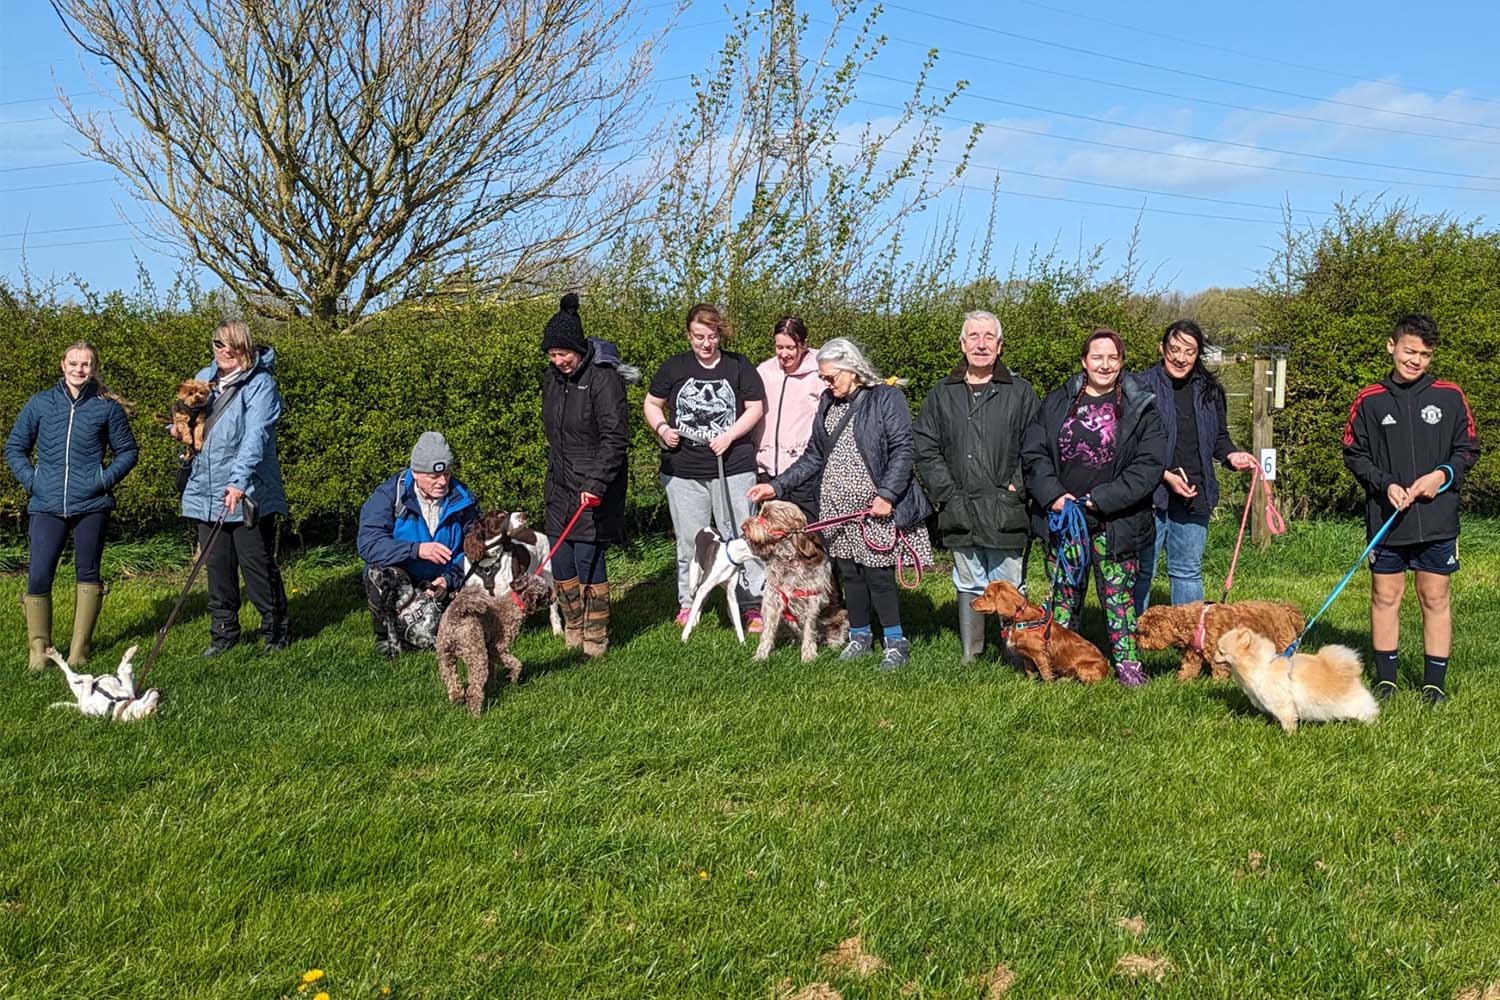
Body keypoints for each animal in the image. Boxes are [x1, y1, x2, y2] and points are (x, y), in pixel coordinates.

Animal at [435, 569, 552, 719]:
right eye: (545, 593)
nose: (554, 596)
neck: (514, 604)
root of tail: (457, 614)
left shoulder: (490, 654)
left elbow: (492, 674)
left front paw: (492, 689)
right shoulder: (496, 650)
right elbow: (516, 664)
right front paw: (513, 678)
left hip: (445, 658)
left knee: (452, 683)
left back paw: (458, 699)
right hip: (477, 656)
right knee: (473, 690)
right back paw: (476, 715)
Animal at [741, 503, 852, 659]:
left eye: (767, 515)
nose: (743, 527)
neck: (789, 559)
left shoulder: (812, 602)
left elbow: (809, 630)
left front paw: (808, 656)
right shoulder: (772, 601)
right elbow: (767, 632)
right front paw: (760, 656)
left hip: (843, 614)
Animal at [972, 581, 1116, 683]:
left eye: (988, 595)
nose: (970, 603)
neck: (1020, 619)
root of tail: (1108, 670)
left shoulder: (1040, 655)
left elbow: (1045, 674)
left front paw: (1047, 688)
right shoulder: (1027, 656)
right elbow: (1029, 671)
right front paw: (1030, 684)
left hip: (1084, 669)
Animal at [1140, 602, 1308, 680]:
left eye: (1145, 633)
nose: (1137, 641)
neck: (1196, 623)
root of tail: (1285, 610)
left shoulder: (1218, 655)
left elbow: (1219, 671)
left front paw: (1217, 684)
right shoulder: (1193, 653)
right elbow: (1188, 667)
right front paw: (1182, 681)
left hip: (1284, 643)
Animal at [1212, 626, 1374, 734]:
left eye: (1221, 651)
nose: (1213, 656)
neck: (1261, 666)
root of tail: (1350, 672)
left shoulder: (1283, 704)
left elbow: (1287, 720)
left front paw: (1289, 736)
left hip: (1354, 705)